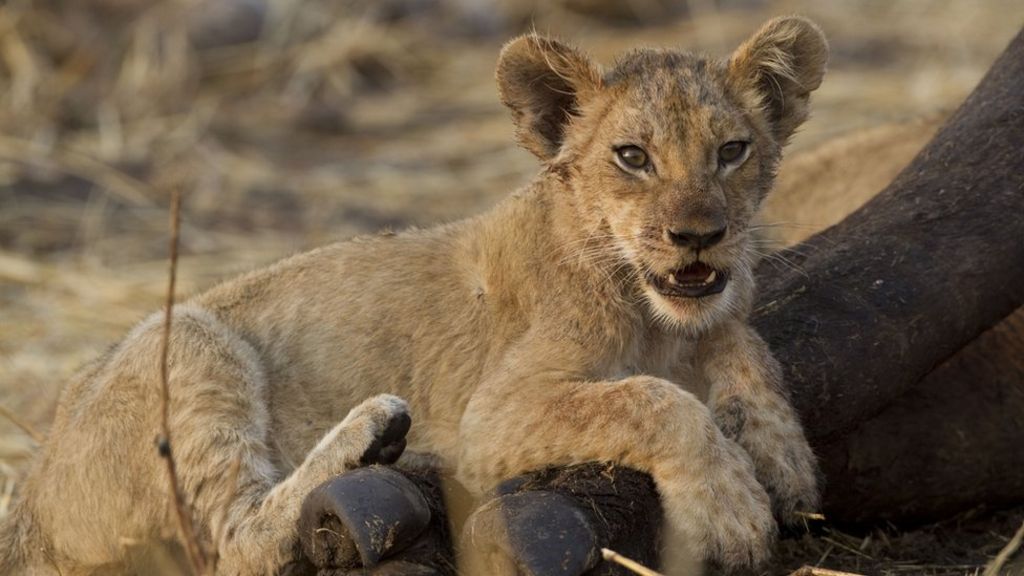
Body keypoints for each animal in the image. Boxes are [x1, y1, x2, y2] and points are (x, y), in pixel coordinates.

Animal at [0, 17, 828, 575]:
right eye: (632, 157)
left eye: (732, 151)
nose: (698, 236)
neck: (654, 315)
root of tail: (29, 491)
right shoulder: (495, 413)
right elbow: (654, 400)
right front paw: (732, 509)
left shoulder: (711, 316)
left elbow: (745, 346)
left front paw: (786, 460)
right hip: (192, 338)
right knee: (237, 542)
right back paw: (377, 429)